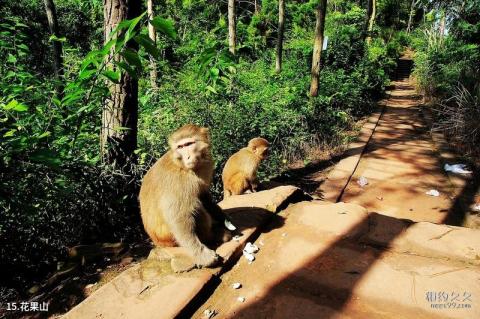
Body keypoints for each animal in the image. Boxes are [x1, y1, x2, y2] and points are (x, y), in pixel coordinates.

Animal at [139, 124, 234, 268]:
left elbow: (203, 195)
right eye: (180, 147)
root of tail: (157, 241)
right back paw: (213, 236)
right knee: (194, 207)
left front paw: (223, 217)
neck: (182, 166)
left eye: (189, 144)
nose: (188, 157)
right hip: (169, 238)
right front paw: (202, 255)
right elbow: (178, 216)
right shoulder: (178, 181)